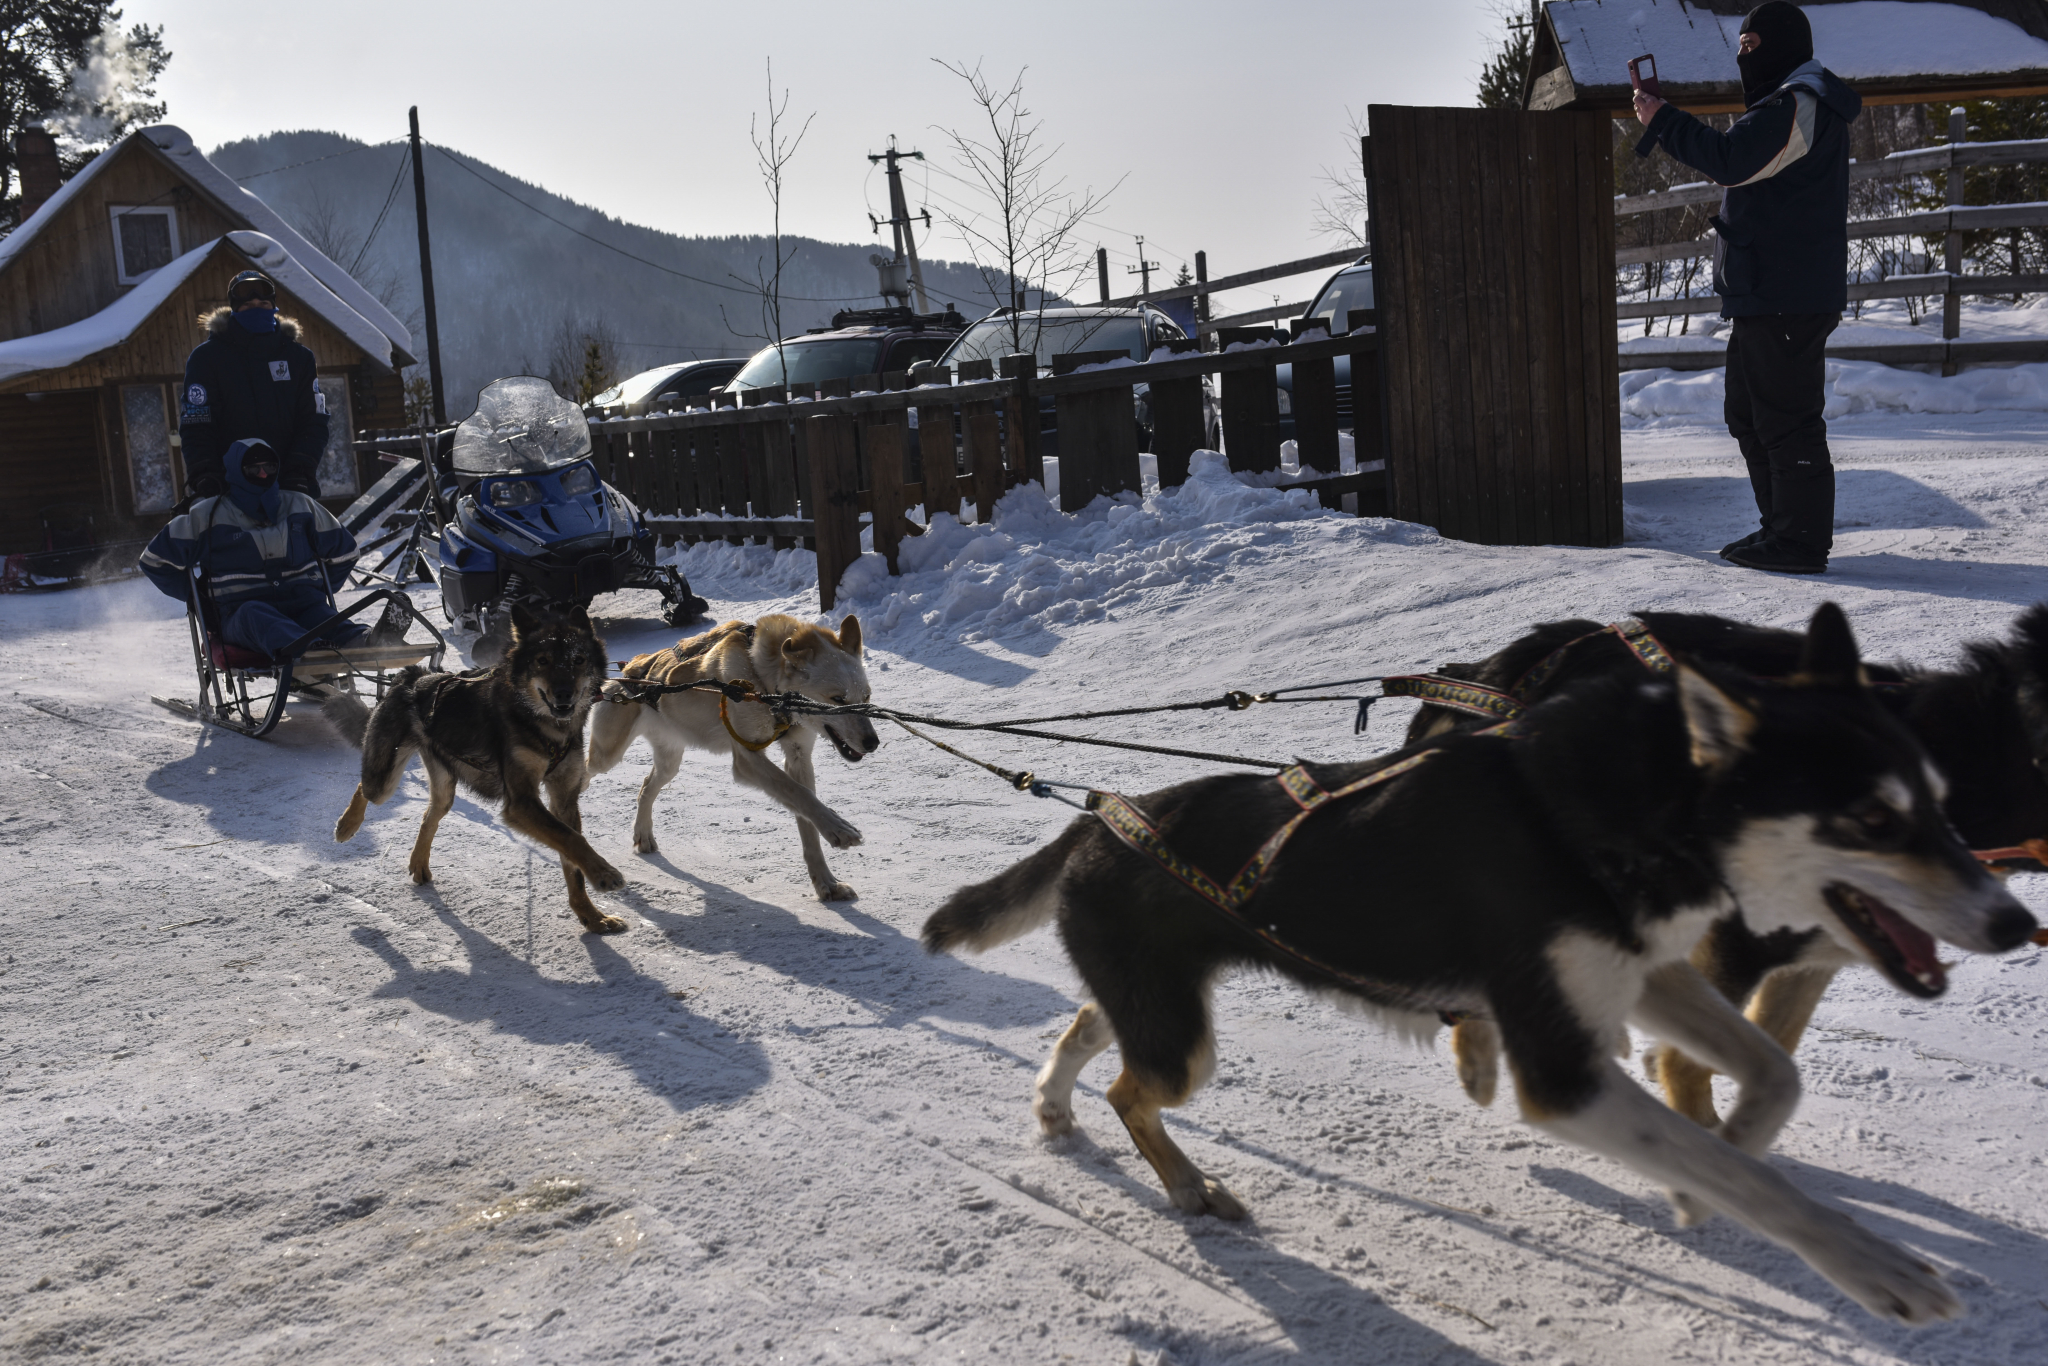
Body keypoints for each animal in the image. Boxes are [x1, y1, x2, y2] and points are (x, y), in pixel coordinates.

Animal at [323, 602, 626, 933]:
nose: (563, 693)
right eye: (542, 661)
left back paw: (419, 863)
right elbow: (572, 839)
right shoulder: (521, 802)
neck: (543, 724)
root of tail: (414, 677)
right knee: (364, 787)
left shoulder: (564, 799)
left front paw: (591, 915)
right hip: (385, 779)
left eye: (578, 660)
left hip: (444, 789)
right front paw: (603, 874)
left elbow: (572, 858)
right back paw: (347, 825)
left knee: (428, 817)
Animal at [589, 618, 884, 897]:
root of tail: (627, 670)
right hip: (606, 755)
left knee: (645, 788)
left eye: (866, 696)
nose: (873, 742)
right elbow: (798, 794)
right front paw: (839, 829)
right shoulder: (748, 758)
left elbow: (806, 811)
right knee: (584, 773)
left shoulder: (798, 758)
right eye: (837, 699)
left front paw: (826, 884)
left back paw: (643, 834)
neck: (764, 683)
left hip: (669, 763)